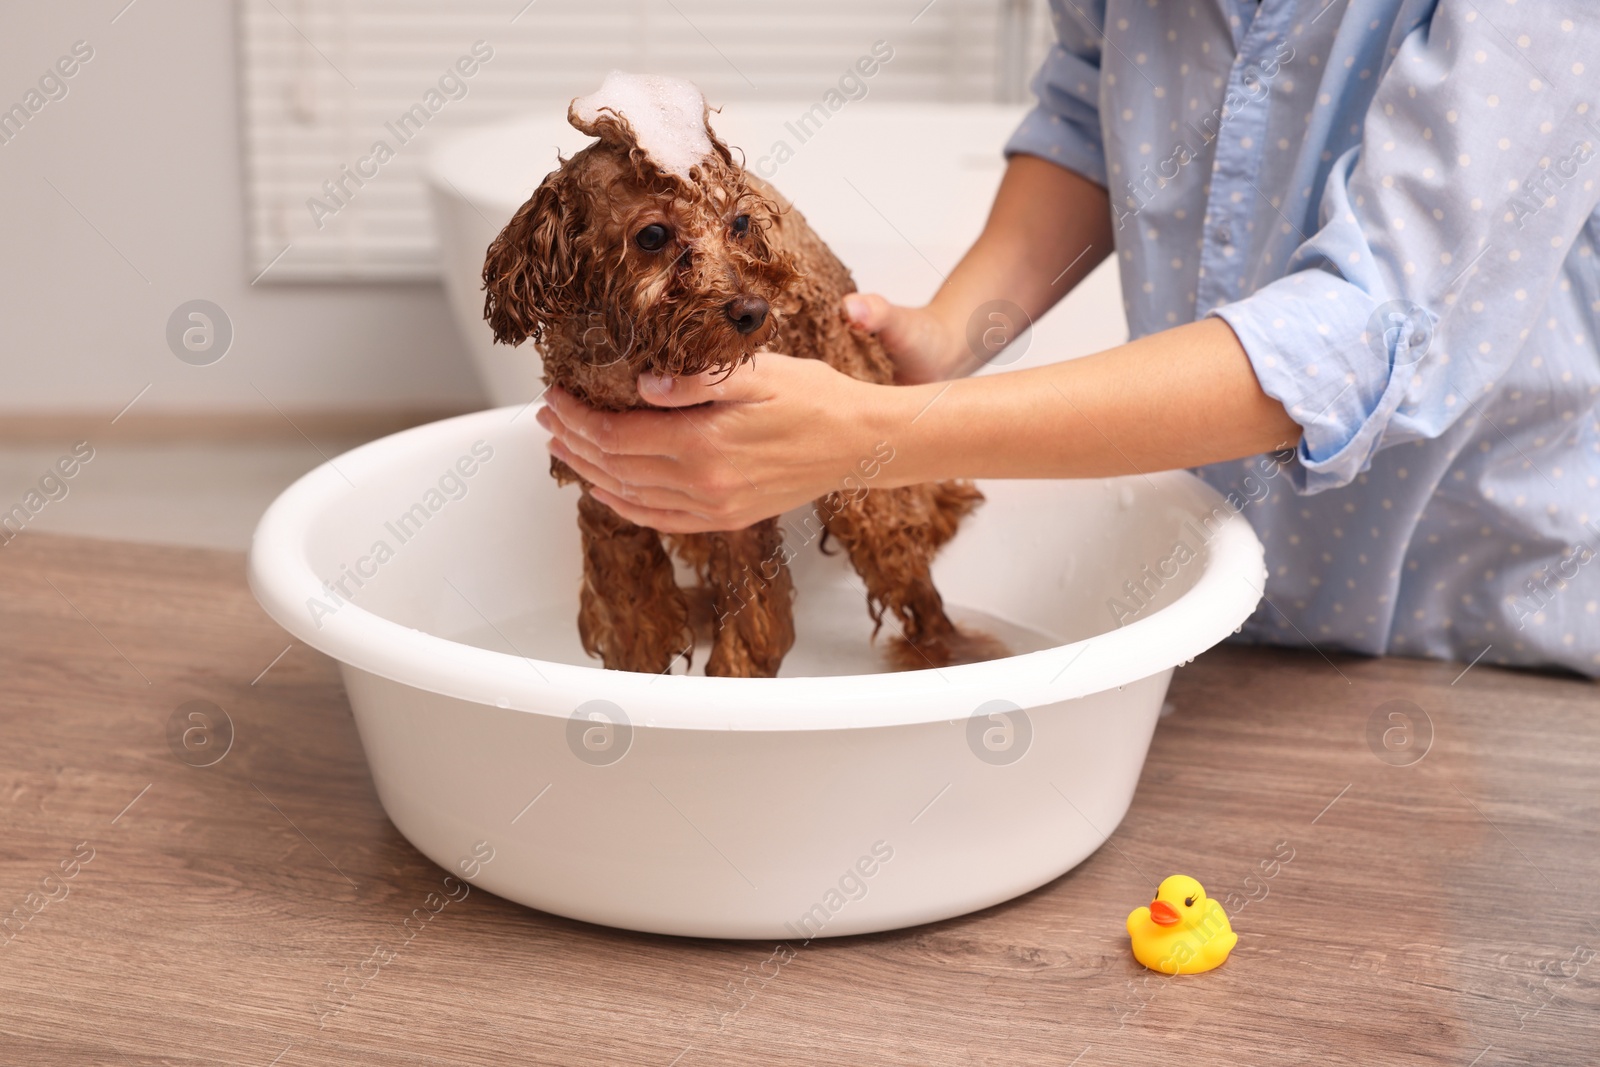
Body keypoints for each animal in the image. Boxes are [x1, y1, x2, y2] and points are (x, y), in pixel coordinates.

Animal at [480, 77, 992, 675]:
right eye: (652, 235)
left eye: (740, 225)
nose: (753, 311)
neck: (638, 369)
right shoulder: (611, 519)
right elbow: (636, 636)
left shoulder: (738, 516)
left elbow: (748, 638)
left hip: (865, 486)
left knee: (912, 578)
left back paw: (949, 653)